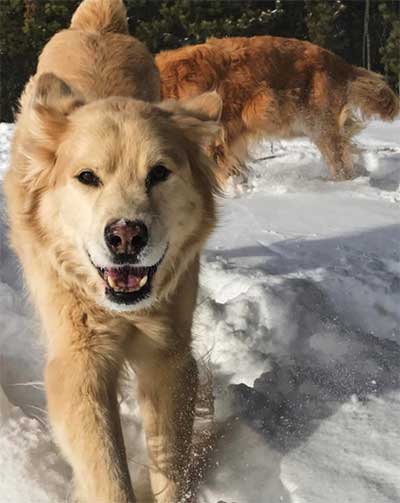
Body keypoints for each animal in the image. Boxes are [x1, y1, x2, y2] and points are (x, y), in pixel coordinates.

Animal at [3, 0, 222, 503]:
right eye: (87, 177)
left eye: (159, 173)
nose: (126, 236)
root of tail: (96, 25)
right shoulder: (78, 363)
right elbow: (107, 474)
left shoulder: (169, 356)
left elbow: (170, 467)